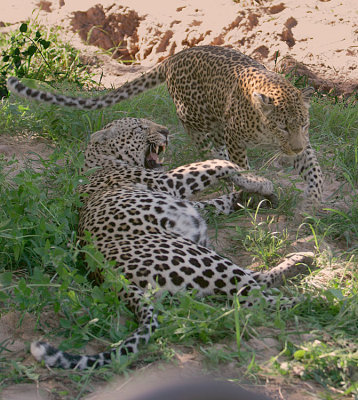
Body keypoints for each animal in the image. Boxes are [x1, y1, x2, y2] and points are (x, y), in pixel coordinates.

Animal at [7, 46, 324, 202]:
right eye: (282, 127)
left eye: (304, 124)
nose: (294, 149)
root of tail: (173, 57)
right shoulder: (236, 138)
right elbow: (241, 165)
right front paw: (250, 185)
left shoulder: (304, 142)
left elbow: (313, 167)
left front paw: (316, 201)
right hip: (196, 119)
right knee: (207, 146)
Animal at [31, 117, 316, 370]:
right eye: (140, 127)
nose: (166, 131)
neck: (98, 161)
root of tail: (113, 280)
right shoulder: (166, 181)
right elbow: (215, 162)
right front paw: (257, 182)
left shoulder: (182, 197)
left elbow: (216, 200)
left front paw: (252, 192)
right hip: (197, 257)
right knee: (252, 298)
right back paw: (318, 300)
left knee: (254, 283)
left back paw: (301, 261)